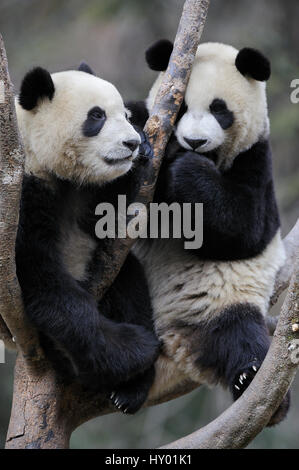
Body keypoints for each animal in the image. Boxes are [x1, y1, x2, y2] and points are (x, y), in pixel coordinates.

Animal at [15, 63, 162, 414]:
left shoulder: (91, 193)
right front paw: (135, 348)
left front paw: (146, 146)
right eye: (97, 116)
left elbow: (113, 214)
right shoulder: (22, 196)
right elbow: (43, 279)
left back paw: (131, 389)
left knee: (131, 285)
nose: (130, 143)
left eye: (124, 114)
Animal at [127, 39, 292, 422]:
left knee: (239, 334)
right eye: (182, 107)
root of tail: (174, 345)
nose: (195, 142)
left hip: (220, 306)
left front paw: (185, 171)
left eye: (220, 110)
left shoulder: (256, 159)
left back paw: (256, 384)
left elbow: (245, 228)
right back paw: (129, 384)